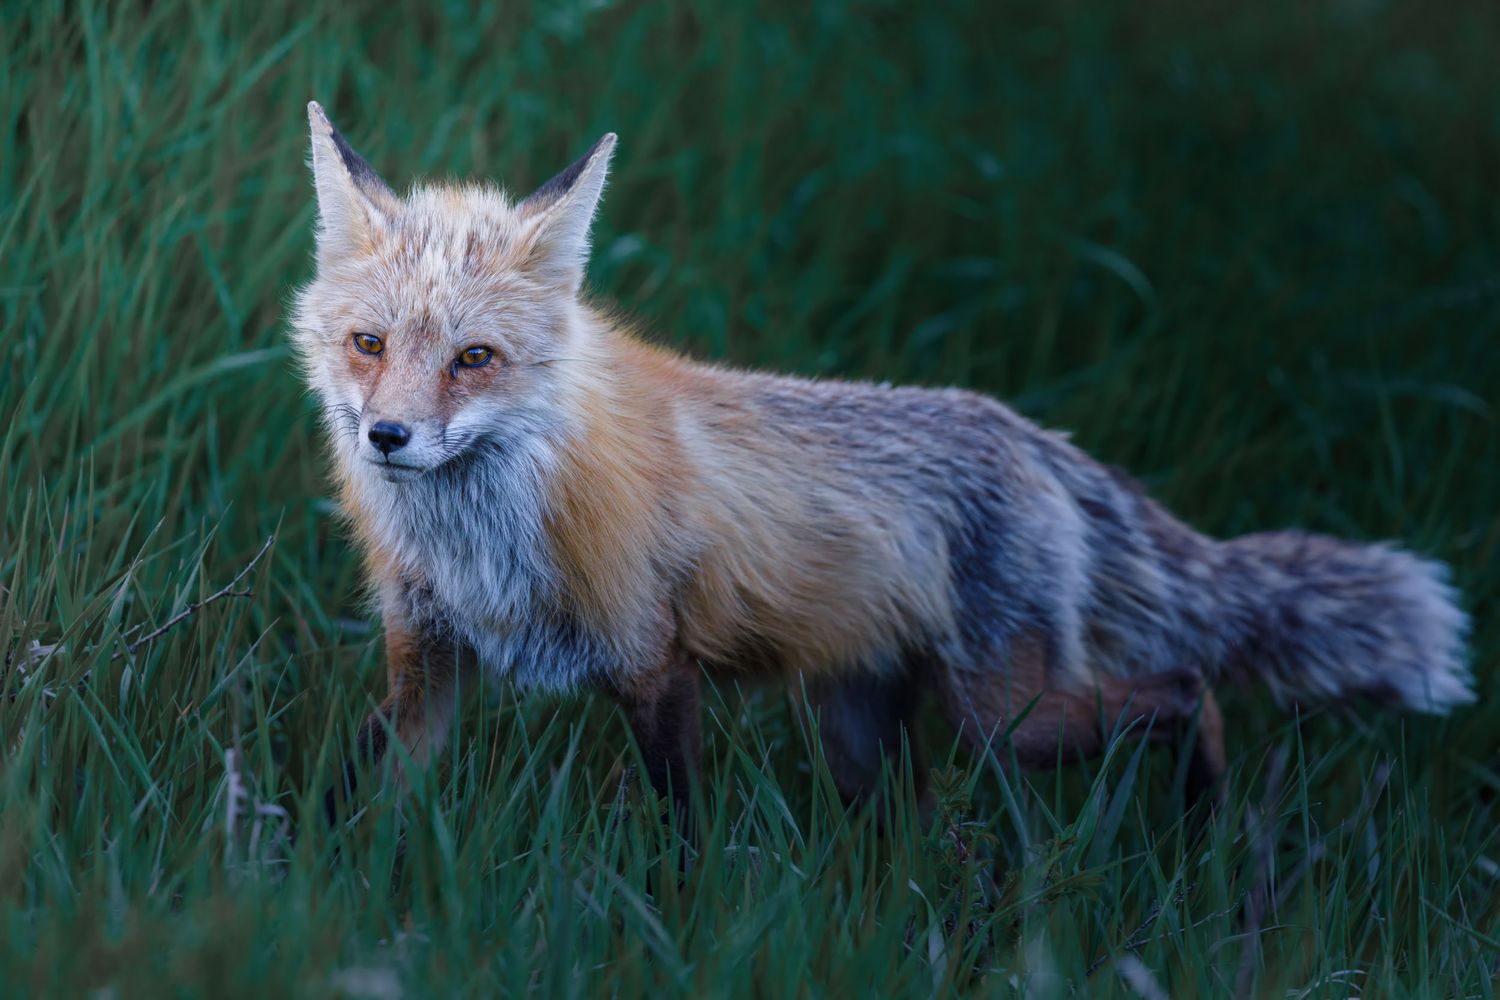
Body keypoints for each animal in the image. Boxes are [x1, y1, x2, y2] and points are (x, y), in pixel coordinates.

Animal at [293, 101, 1473, 825]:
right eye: (369, 345)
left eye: (474, 360)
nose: (387, 438)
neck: (483, 539)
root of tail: (1032, 438)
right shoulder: (429, 663)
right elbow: (347, 793)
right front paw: (297, 882)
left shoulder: (653, 664)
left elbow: (681, 844)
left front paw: (681, 930)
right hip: (870, 737)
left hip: (1006, 719)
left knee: (1192, 692)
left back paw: (1207, 830)